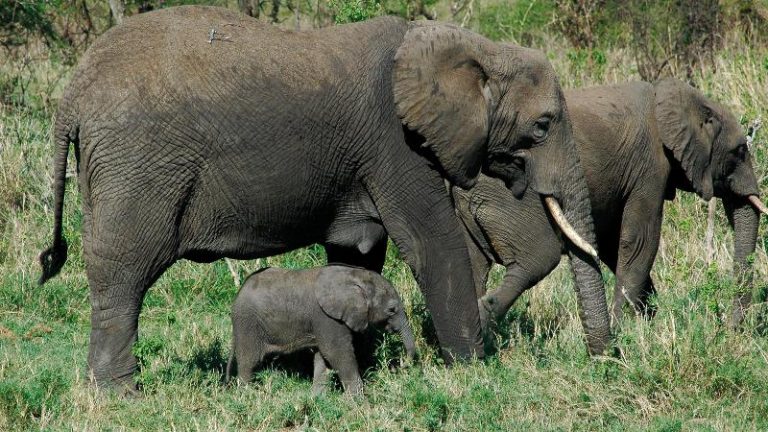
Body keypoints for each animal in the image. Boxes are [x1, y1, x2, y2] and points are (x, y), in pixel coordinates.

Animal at [225, 264, 416, 394]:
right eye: (391, 309)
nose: (399, 366)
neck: (355, 276)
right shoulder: (326, 316)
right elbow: (336, 352)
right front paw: (357, 403)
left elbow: (323, 357)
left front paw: (317, 398)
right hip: (248, 322)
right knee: (249, 361)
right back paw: (246, 395)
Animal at [460, 77, 764, 330]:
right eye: (740, 151)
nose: (730, 329)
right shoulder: (649, 168)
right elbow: (639, 241)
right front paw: (626, 329)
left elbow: (612, 244)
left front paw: (646, 323)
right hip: (513, 197)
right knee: (536, 260)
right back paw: (486, 315)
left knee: (473, 266)